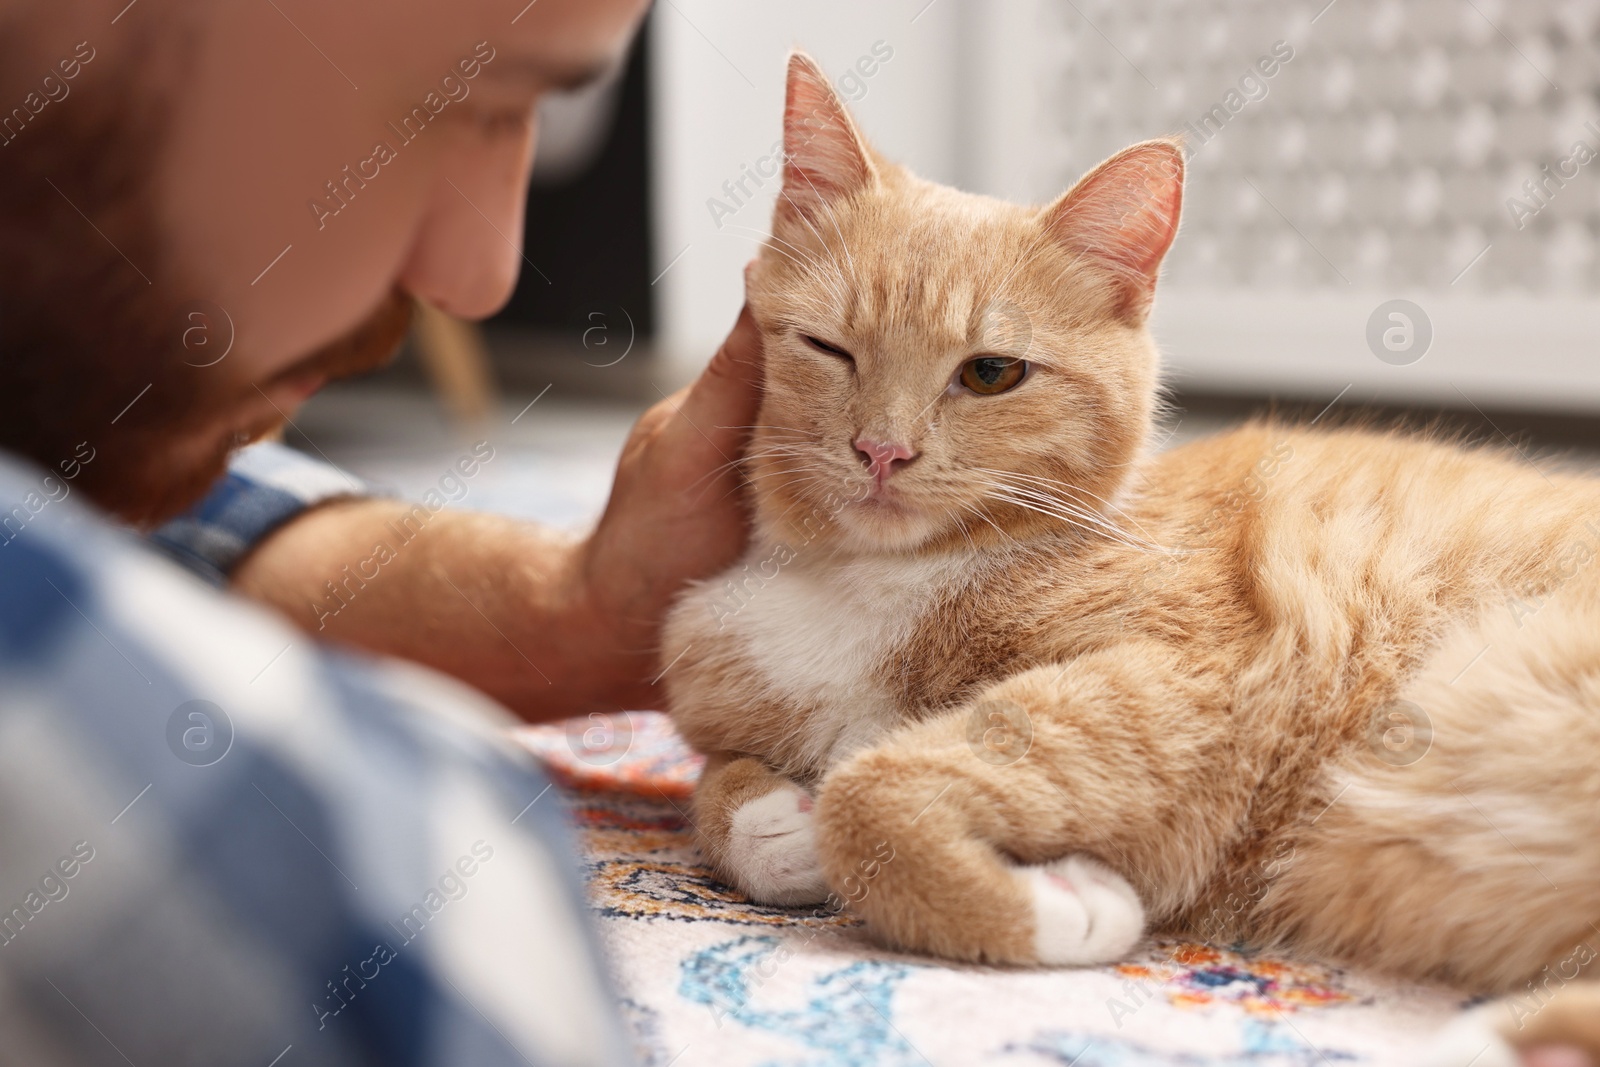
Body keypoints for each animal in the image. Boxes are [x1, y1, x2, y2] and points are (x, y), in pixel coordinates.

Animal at [659, 51, 1600, 1067]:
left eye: (991, 373)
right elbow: (717, 786)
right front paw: (772, 820)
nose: (882, 451)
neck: (861, 578)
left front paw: (1052, 908)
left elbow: (870, 794)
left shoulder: (1192, 679)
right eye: (828, 347)